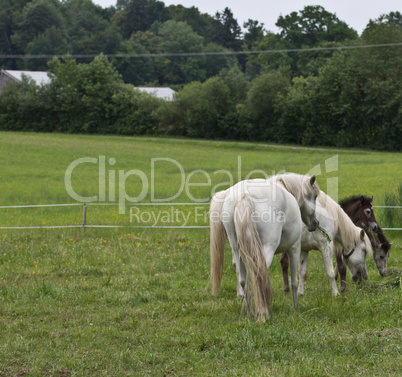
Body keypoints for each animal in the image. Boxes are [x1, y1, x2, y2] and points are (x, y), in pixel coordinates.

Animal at [210, 173, 320, 320]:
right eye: (315, 196)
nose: (315, 223)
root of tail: (243, 195)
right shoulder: (294, 249)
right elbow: (294, 281)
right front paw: (295, 306)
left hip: (237, 250)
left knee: (243, 279)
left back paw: (250, 311)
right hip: (266, 250)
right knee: (258, 275)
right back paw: (262, 313)